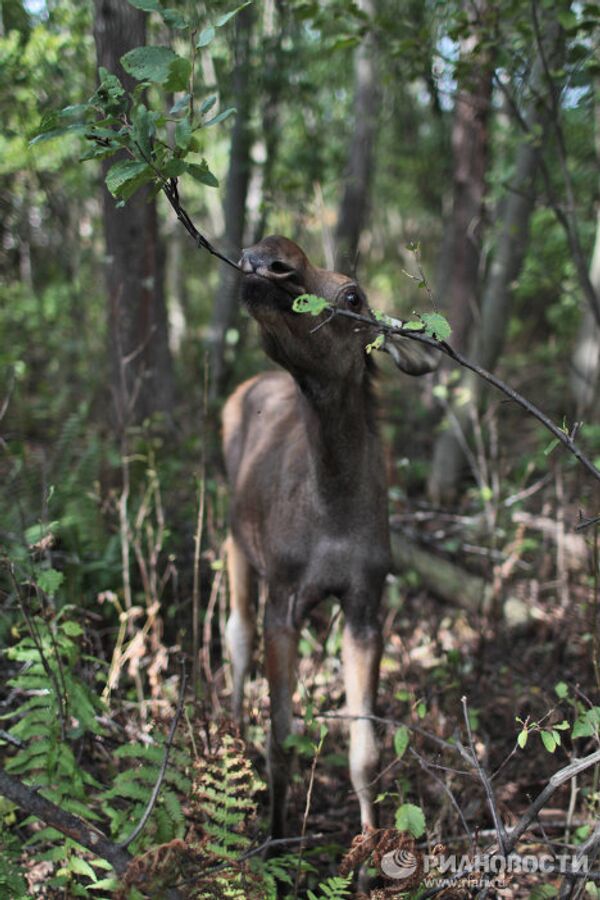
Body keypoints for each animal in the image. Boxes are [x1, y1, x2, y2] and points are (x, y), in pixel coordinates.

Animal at [223, 237, 438, 836]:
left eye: (353, 296)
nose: (269, 256)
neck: (335, 505)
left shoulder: (365, 604)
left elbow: (366, 755)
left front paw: (371, 844)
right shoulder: (283, 601)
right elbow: (280, 742)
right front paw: (274, 840)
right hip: (235, 544)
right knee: (235, 634)